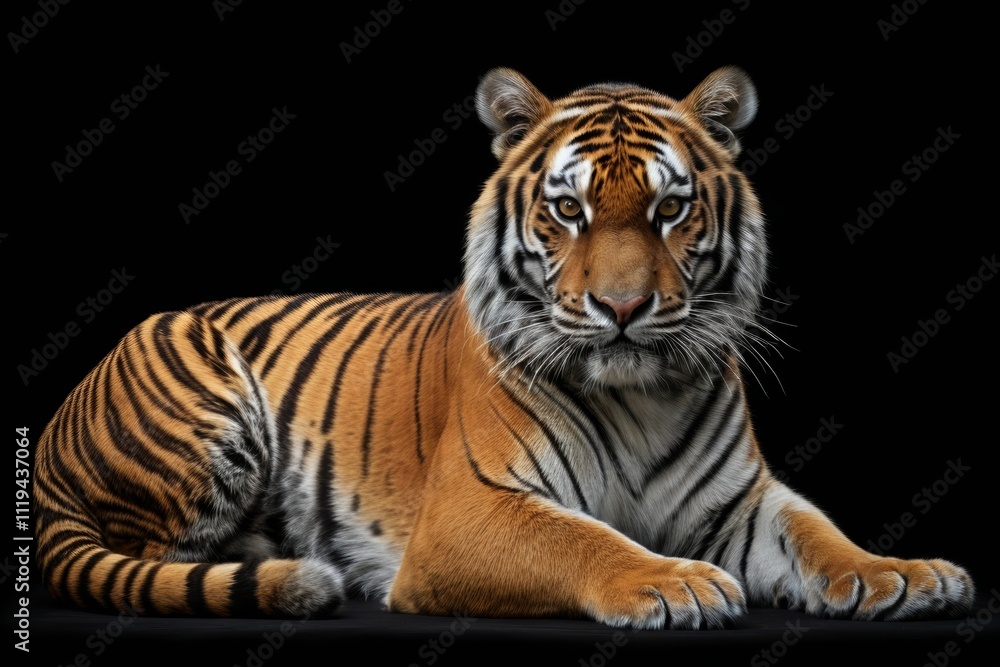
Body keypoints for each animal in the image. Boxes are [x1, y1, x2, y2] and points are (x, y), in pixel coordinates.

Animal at [34, 66, 975, 629]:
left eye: (671, 209)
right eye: (568, 210)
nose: (623, 306)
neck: (639, 394)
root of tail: (53, 432)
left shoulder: (737, 500)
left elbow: (817, 530)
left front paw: (904, 573)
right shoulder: (472, 509)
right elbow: (583, 540)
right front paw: (674, 581)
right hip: (204, 409)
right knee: (148, 560)